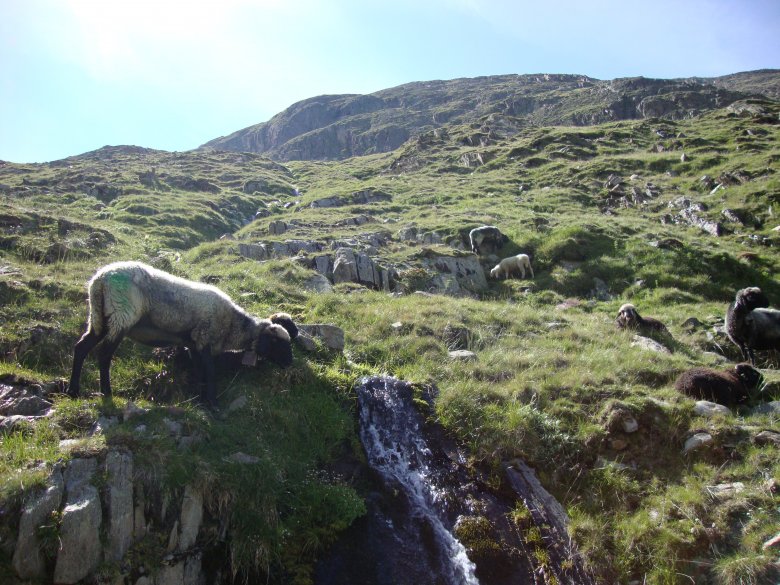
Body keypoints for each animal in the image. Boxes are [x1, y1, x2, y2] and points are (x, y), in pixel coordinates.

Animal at [68, 260, 296, 406]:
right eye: (278, 343)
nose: (290, 363)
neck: (233, 326)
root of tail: (100, 280)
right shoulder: (205, 339)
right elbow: (210, 372)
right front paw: (213, 403)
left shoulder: (194, 344)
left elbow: (199, 371)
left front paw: (199, 398)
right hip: (121, 315)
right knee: (104, 355)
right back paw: (106, 392)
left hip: (99, 318)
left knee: (81, 348)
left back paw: (73, 391)